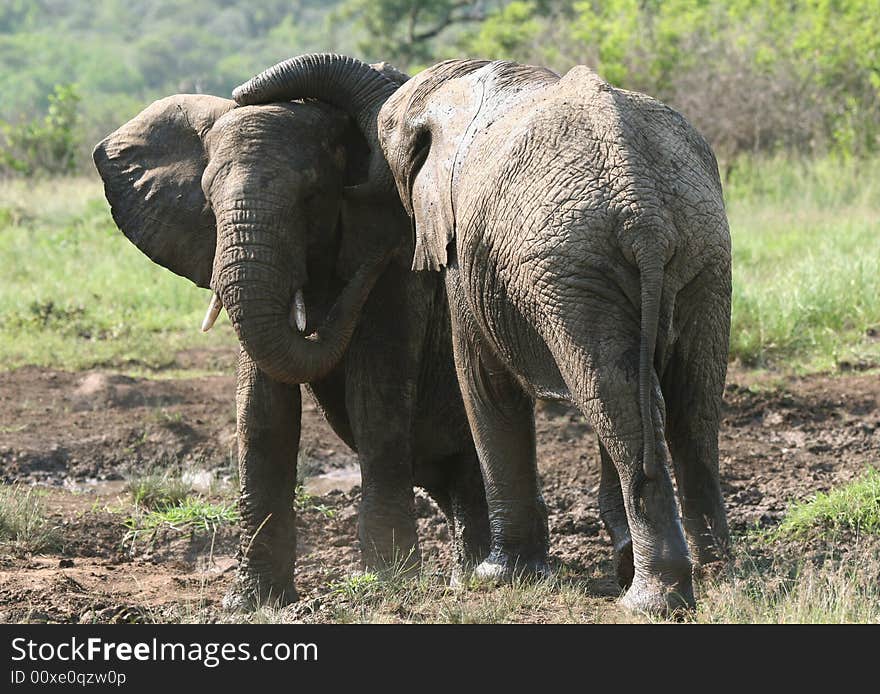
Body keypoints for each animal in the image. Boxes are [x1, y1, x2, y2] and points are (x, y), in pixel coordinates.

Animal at [93, 73, 492, 612]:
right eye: (207, 201)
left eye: (312, 197)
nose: (367, 266)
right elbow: (262, 409)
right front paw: (252, 602)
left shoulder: (400, 265)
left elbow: (375, 399)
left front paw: (386, 585)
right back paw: (467, 576)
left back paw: (475, 578)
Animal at [230, 53, 732, 616]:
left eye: (388, 137)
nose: (241, 94)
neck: (472, 83)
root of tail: (645, 217)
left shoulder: (465, 247)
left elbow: (483, 379)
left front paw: (497, 576)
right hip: (703, 251)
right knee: (691, 402)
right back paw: (716, 573)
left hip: (578, 269)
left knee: (620, 401)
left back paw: (651, 600)